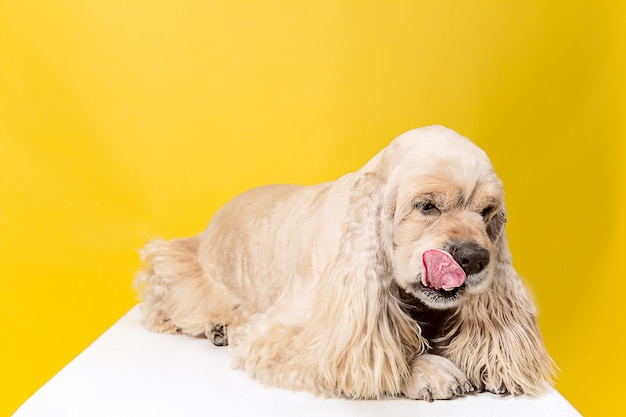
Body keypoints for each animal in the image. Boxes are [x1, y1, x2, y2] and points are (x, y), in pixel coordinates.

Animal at [134, 126, 552, 400]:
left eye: (487, 213)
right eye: (427, 206)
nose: (475, 258)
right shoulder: (293, 333)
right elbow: (378, 354)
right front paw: (426, 369)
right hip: (182, 270)